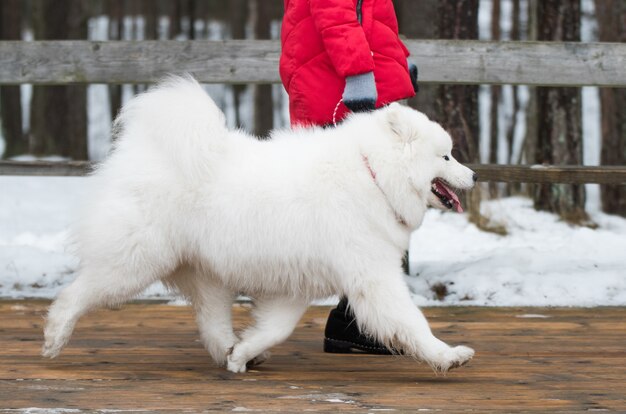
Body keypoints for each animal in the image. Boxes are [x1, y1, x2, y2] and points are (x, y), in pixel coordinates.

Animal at [42, 76, 472, 374]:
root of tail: (138, 151)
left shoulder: (299, 284)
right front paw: (447, 355)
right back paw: (54, 336)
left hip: (206, 273)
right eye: (447, 157)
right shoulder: (373, 278)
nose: (475, 175)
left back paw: (231, 351)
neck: (373, 173)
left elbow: (275, 328)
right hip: (136, 262)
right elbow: (412, 321)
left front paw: (243, 353)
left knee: (211, 322)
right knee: (79, 291)